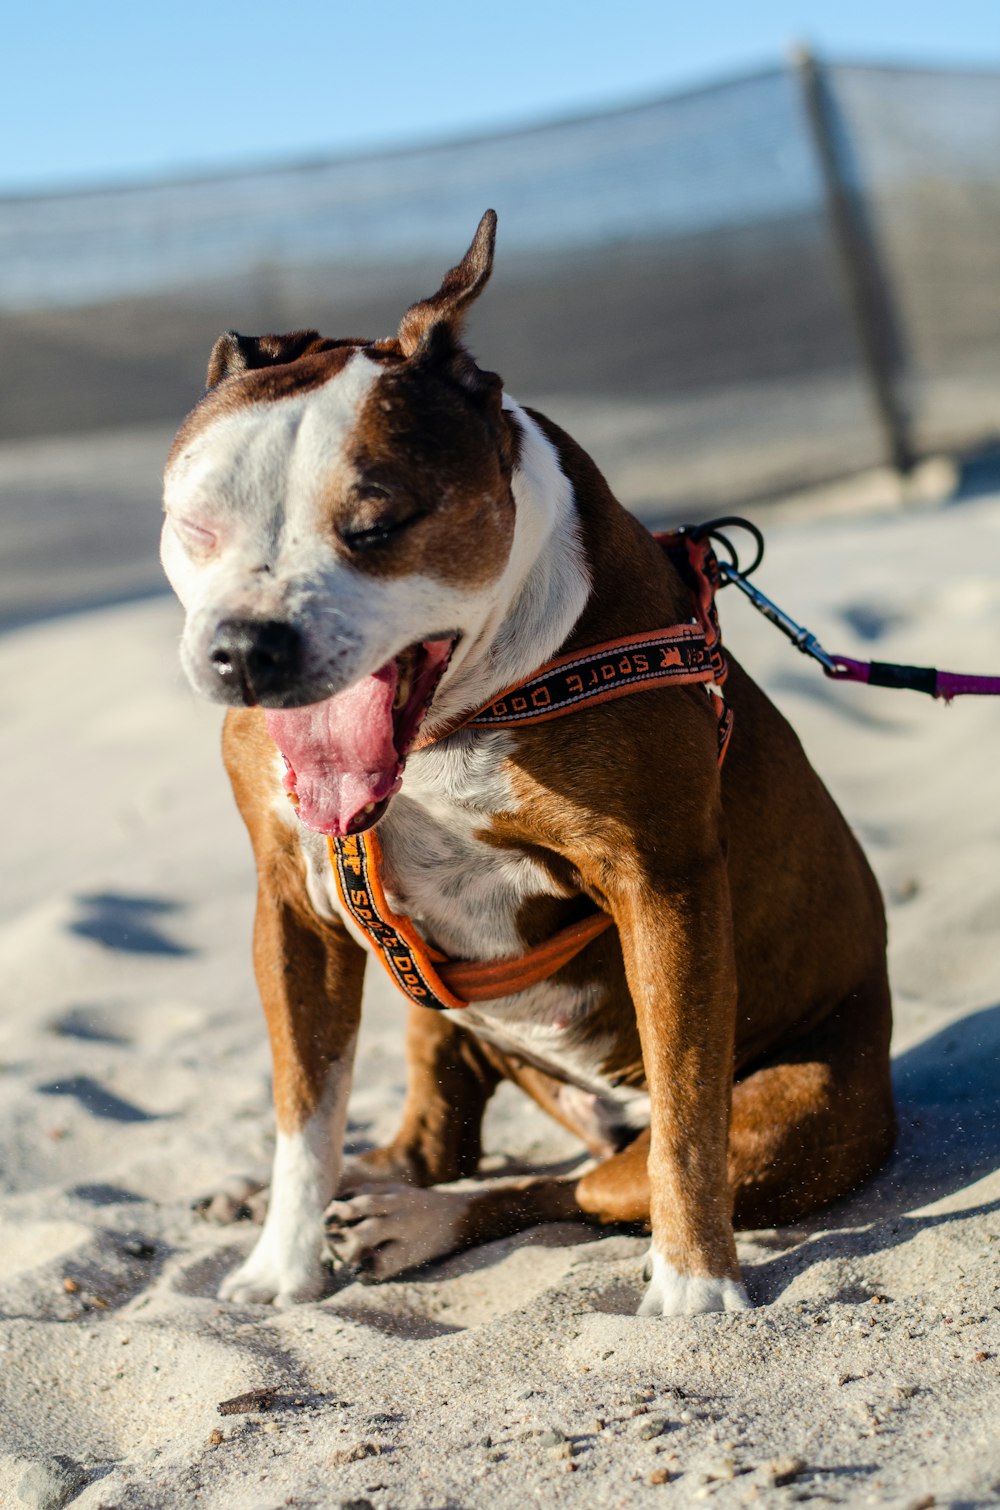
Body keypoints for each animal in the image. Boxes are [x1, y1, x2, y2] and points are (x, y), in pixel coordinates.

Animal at [160, 209, 894, 1310]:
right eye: (193, 524)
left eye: (378, 525)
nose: (246, 647)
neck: (448, 720)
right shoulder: (294, 907)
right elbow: (305, 1112)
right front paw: (280, 1268)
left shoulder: (664, 888)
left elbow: (688, 1117)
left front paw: (696, 1289)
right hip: (432, 1004)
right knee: (442, 1142)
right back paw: (369, 1188)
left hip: (803, 1104)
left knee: (590, 1180)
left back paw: (432, 1222)